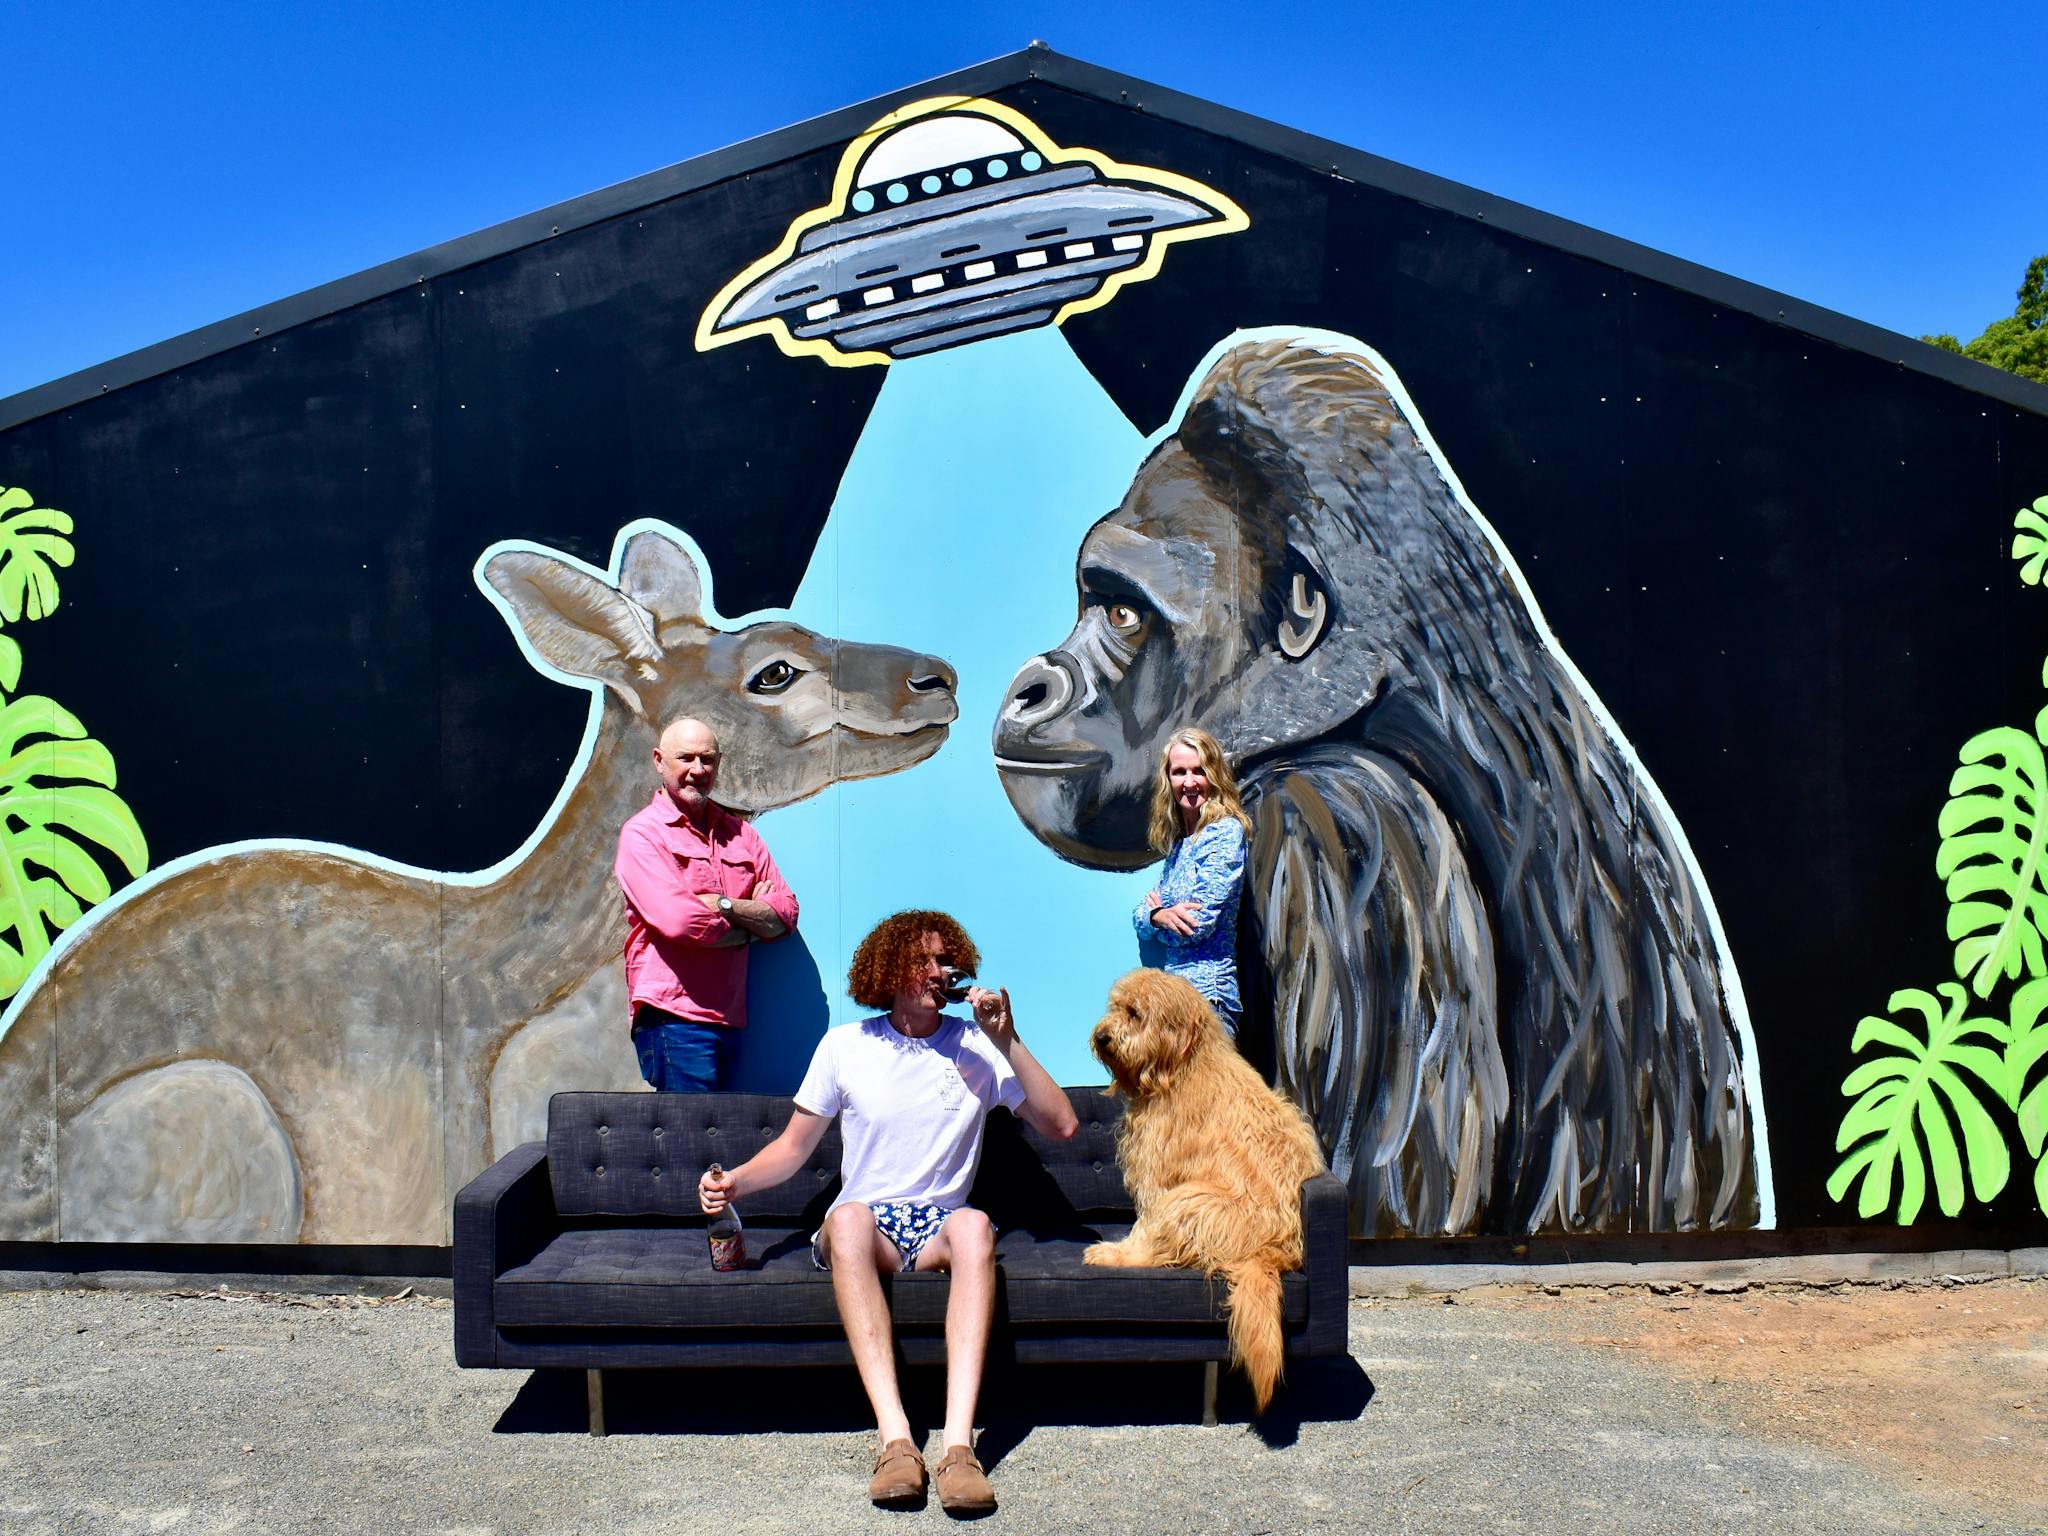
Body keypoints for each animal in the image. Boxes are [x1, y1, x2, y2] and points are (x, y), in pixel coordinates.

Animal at [1089, 966, 1327, 1417]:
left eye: (1134, 1013)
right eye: (1115, 1006)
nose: (1102, 1037)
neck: (1183, 1064)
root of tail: (1276, 1251)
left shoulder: (1158, 1177)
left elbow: (1144, 1228)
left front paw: (1122, 1250)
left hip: (1190, 1200)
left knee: (1159, 1250)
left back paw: (1111, 1256)